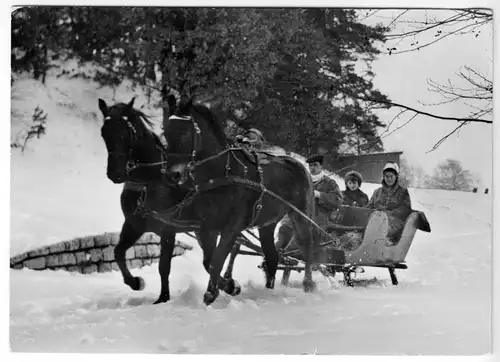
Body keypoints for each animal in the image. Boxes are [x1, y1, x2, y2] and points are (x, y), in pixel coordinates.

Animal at [98, 96, 318, 306]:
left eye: (126, 133)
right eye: (104, 133)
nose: (115, 174)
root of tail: (297, 162)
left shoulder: (198, 228)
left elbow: (185, 264)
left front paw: (217, 291)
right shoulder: (144, 225)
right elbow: (119, 252)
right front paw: (140, 285)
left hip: (300, 214)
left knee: (307, 246)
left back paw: (308, 284)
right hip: (266, 223)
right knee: (272, 257)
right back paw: (268, 291)